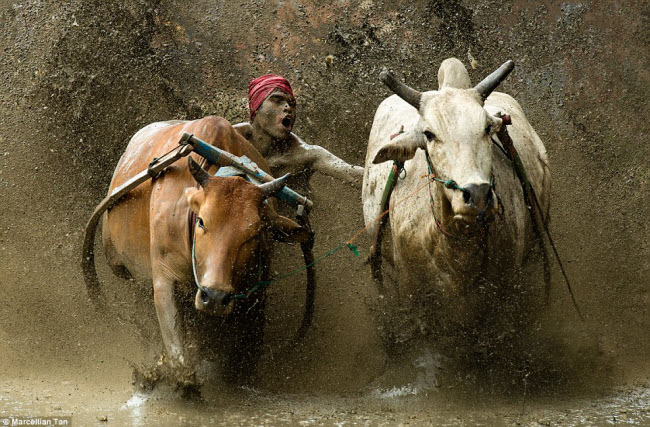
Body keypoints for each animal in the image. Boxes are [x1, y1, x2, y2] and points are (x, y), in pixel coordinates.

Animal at [97, 115, 308, 372]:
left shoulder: (256, 294)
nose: (214, 296)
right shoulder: (164, 281)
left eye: (255, 233)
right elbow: (179, 354)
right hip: (121, 267)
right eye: (201, 221)